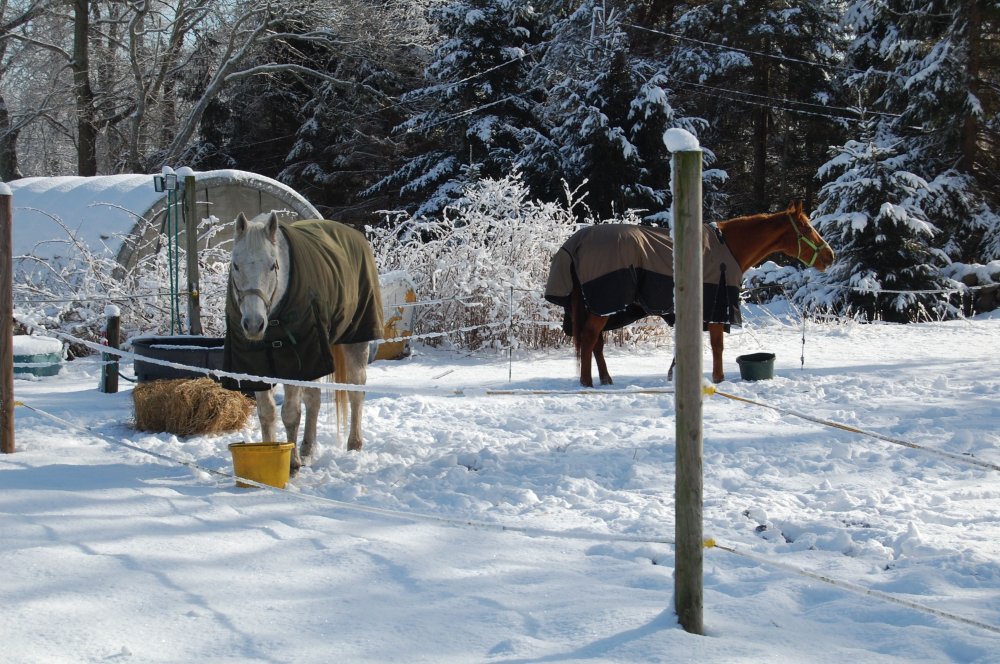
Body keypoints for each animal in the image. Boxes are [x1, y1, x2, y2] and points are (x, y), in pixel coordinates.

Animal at [227, 213, 382, 472]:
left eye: (273, 265)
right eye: (235, 265)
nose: (253, 324)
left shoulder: (294, 364)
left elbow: (290, 413)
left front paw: (292, 464)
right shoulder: (259, 367)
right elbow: (266, 413)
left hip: (355, 340)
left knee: (355, 391)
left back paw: (354, 445)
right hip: (315, 359)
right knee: (314, 401)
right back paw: (308, 449)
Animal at [544, 200, 832, 386]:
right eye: (807, 229)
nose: (830, 256)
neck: (727, 248)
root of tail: (576, 243)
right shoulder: (716, 308)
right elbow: (717, 346)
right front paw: (718, 379)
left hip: (602, 307)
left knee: (596, 343)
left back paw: (605, 379)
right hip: (604, 303)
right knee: (589, 338)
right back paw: (587, 383)